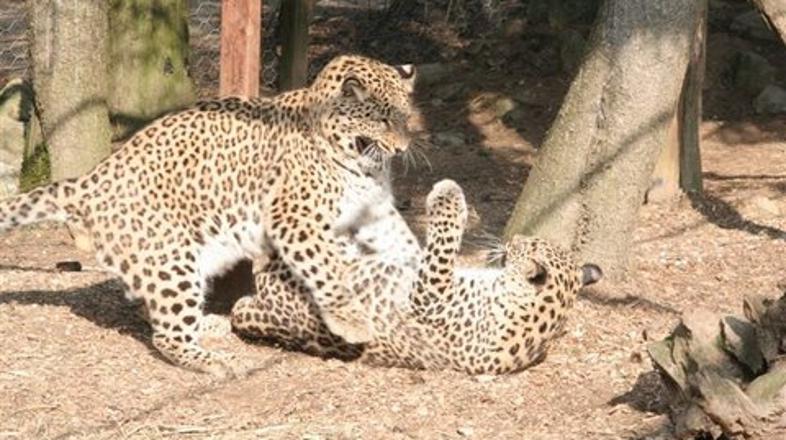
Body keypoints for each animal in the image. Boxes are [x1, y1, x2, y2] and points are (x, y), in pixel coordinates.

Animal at [0, 54, 422, 378]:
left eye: (405, 117)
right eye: (382, 120)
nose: (403, 149)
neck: (359, 164)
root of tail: (87, 181)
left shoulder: (375, 209)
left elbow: (404, 241)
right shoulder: (295, 219)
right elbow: (327, 269)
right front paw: (350, 320)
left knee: (148, 307)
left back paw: (209, 325)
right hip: (170, 257)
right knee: (166, 334)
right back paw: (212, 359)